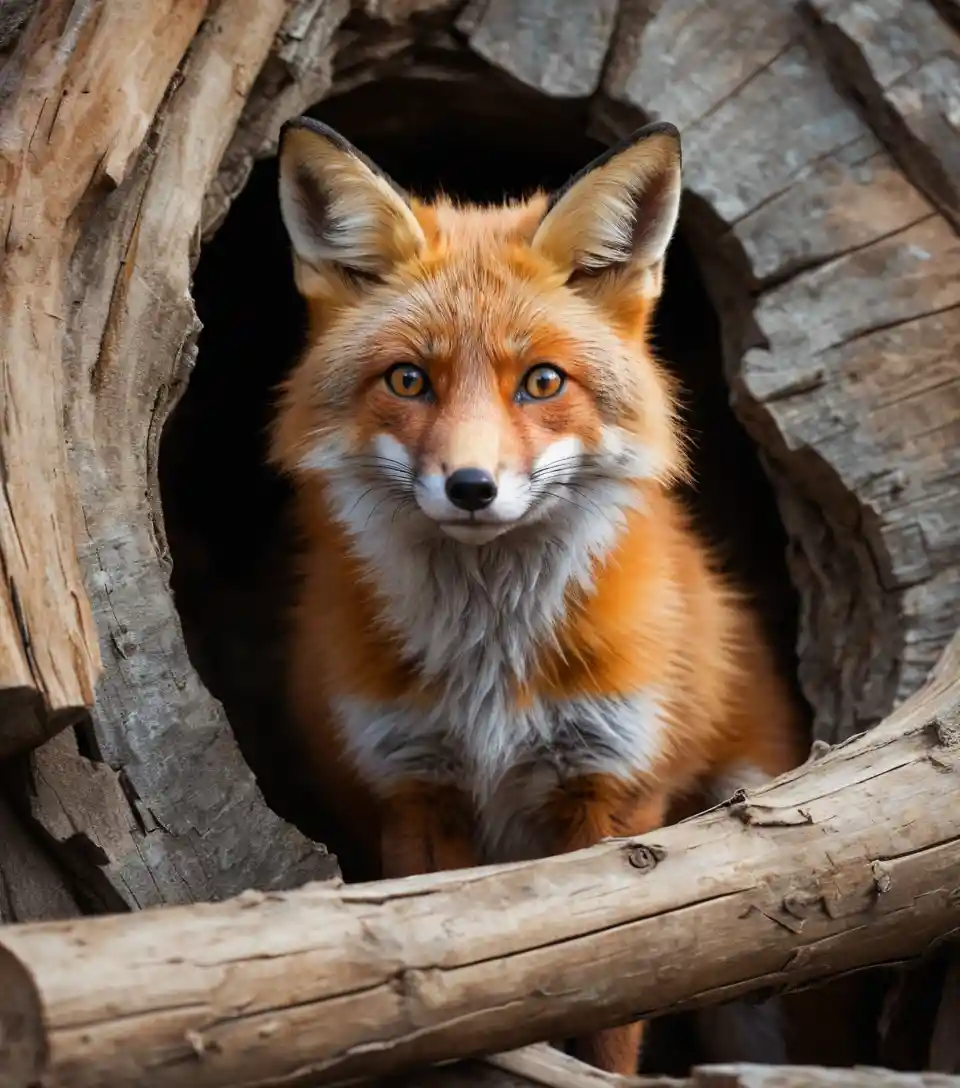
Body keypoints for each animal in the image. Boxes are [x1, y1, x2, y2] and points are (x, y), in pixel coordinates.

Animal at [269, 114, 807, 1075]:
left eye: (543, 381)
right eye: (409, 379)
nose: (472, 487)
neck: (489, 664)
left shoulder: (615, 798)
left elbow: (610, 1026)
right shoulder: (415, 792)